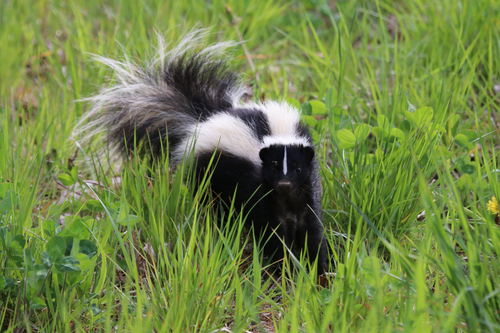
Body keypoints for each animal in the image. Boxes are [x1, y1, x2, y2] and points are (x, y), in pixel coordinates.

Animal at [75, 30, 328, 274]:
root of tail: (206, 116)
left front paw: (319, 270)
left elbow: (312, 229)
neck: (287, 198)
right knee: (214, 205)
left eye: (297, 168)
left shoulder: (306, 193)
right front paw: (285, 269)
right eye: (273, 167)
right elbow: (274, 232)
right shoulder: (262, 192)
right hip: (207, 173)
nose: (284, 183)